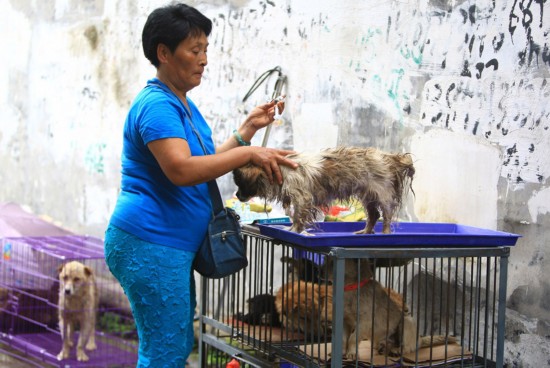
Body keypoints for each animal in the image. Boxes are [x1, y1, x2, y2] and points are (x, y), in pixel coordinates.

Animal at [231, 146, 416, 233]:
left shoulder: (302, 198)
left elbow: (298, 217)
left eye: (241, 184)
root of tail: (390, 158)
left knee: (386, 216)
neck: (281, 169)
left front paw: (295, 230)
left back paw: (385, 232)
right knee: (374, 215)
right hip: (367, 195)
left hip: (382, 194)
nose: (237, 195)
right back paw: (365, 231)